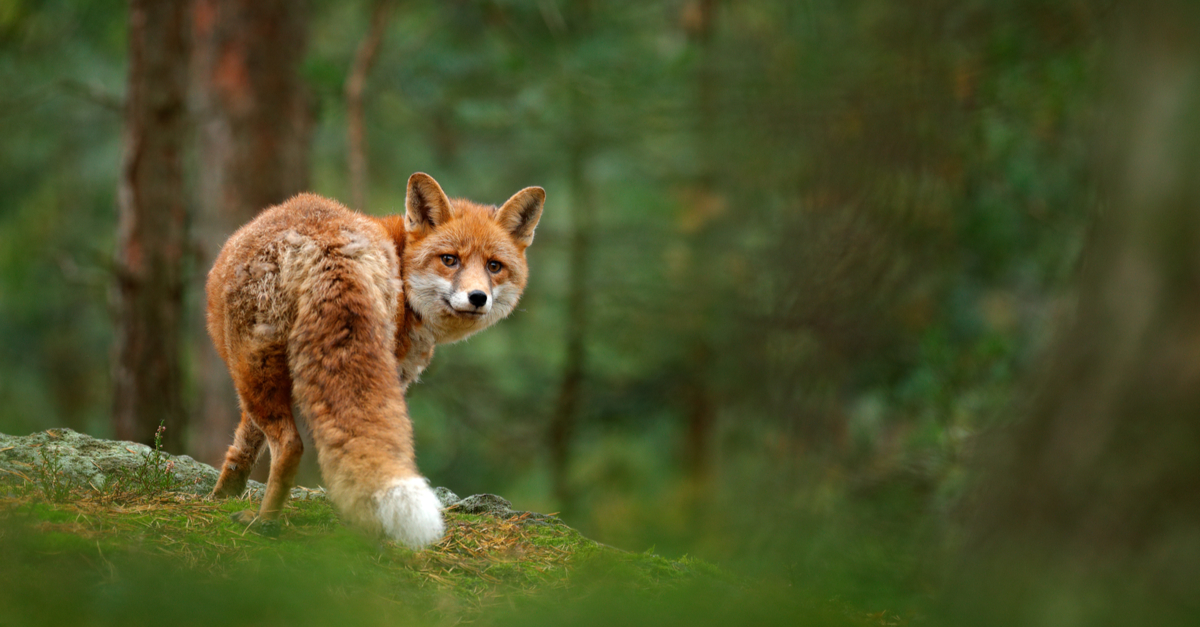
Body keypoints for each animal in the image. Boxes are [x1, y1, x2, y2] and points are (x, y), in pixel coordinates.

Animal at [205, 171, 544, 547]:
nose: (477, 297)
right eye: (449, 260)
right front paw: (223, 495)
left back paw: (264, 522)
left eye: (493, 266)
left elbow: (244, 443)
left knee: (290, 446)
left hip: (251, 368)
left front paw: (221, 496)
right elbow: (245, 444)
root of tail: (328, 246)